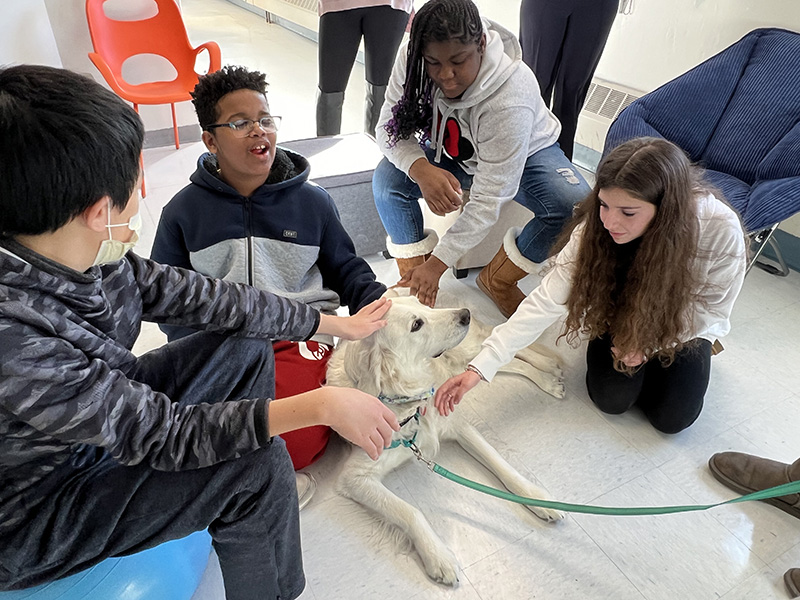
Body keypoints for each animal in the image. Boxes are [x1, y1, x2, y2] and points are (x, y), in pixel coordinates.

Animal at [324, 296, 564, 584]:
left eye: (421, 303)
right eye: (416, 324)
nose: (465, 314)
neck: (408, 408)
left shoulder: (458, 426)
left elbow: (502, 465)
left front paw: (536, 497)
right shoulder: (355, 477)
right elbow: (410, 511)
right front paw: (438, 556)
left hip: (465, 353)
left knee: (500, 348)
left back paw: (547, 372)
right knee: (499, 360)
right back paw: (549, 374)